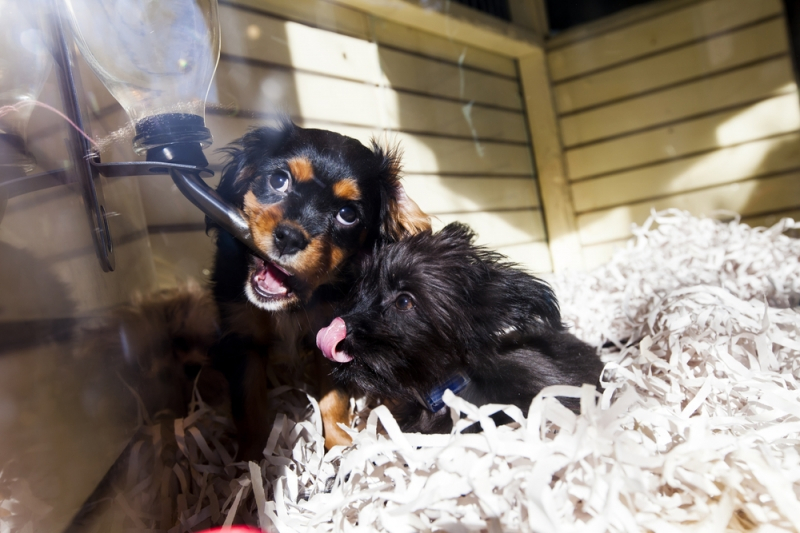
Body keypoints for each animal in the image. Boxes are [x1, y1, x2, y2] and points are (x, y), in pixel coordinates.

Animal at [209, 119, 428, 454]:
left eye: (347, 215)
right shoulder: (243, 338)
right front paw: (251, 460)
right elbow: (249, 407)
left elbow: (333, 401)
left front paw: (340, 447)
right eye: (278, 180)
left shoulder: (331, 336)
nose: (289, 238)